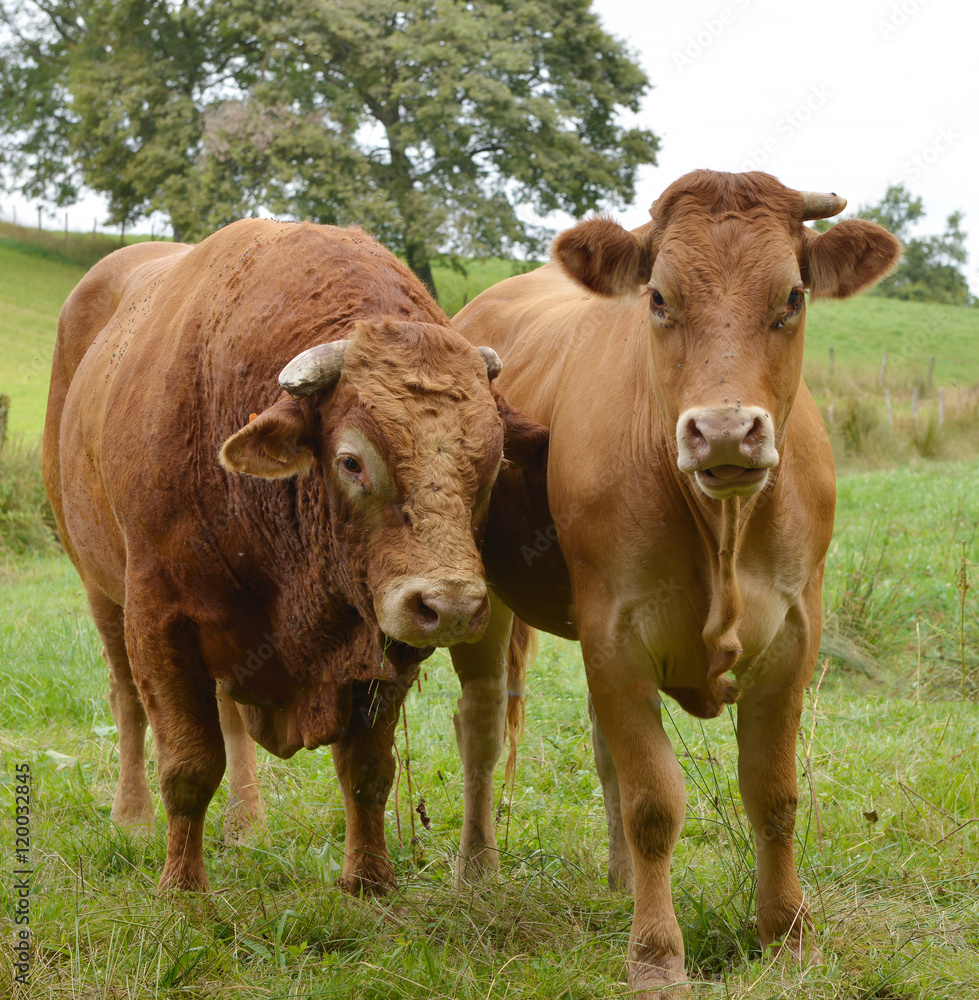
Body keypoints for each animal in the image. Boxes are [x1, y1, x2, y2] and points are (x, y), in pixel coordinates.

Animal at [42, 221, 548, 900]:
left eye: (493, 462)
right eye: (351, 461)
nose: (449, 607)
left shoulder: (380, 645)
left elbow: (367, 768)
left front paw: (369, 880)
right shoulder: (159, 620)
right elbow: (188, 764)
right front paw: (183, 890)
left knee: (230, 717)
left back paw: (245, 821)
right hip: (100, 588)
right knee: (127, 700)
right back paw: (132, 815)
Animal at [448, 170, 900, 992]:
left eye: (792, 296)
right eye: (658, 297)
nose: (723, 432)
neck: (721, 528)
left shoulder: (794, 634)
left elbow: (772, 795)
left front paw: (788, 935)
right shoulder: (616, 636)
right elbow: (654, 804)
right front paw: (656, 956)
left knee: (604, 758)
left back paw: (621, 882)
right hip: (486, 602)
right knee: (484, 727)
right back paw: (477, 867)